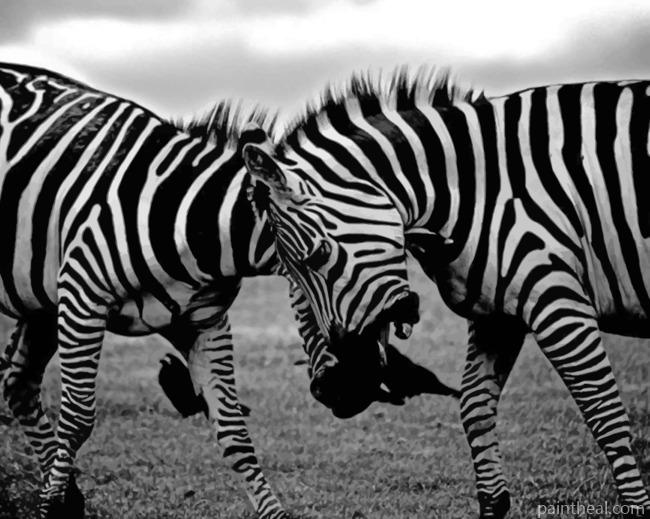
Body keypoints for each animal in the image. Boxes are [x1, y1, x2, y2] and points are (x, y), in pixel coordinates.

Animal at [0, 62, 456, 518]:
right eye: (314, 259)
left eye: (404, 248)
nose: (355, 389)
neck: (195, 222)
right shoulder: (81, 297)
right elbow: (77, 419)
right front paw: (50, 507)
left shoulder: (204, 322)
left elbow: (235, 434)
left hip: (41, 303)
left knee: (18, 384)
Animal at [239, 68, 650, 518]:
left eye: (317, 256)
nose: (332, 390)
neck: (478, 190)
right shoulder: (497, 316)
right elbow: (474, 407)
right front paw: (493, 502)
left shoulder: (558, 300)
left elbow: (605, 414)